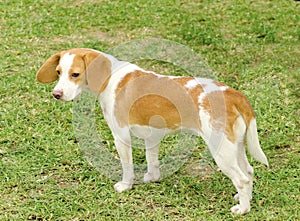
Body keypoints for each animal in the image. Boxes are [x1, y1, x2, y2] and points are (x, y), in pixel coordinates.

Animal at [36, 48, 268, 214]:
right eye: (58, 72)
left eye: (75, 74)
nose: (56, 94)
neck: (111, 77)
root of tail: (234, 95)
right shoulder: (152, 136)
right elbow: (152, 160)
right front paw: (151, 177)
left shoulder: (121, 136)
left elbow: (127, 166)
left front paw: (125, 185)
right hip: (235, 147)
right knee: (249, 171)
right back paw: (244, 198)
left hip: (221, 152)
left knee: (242, 179)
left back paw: (243, 209)